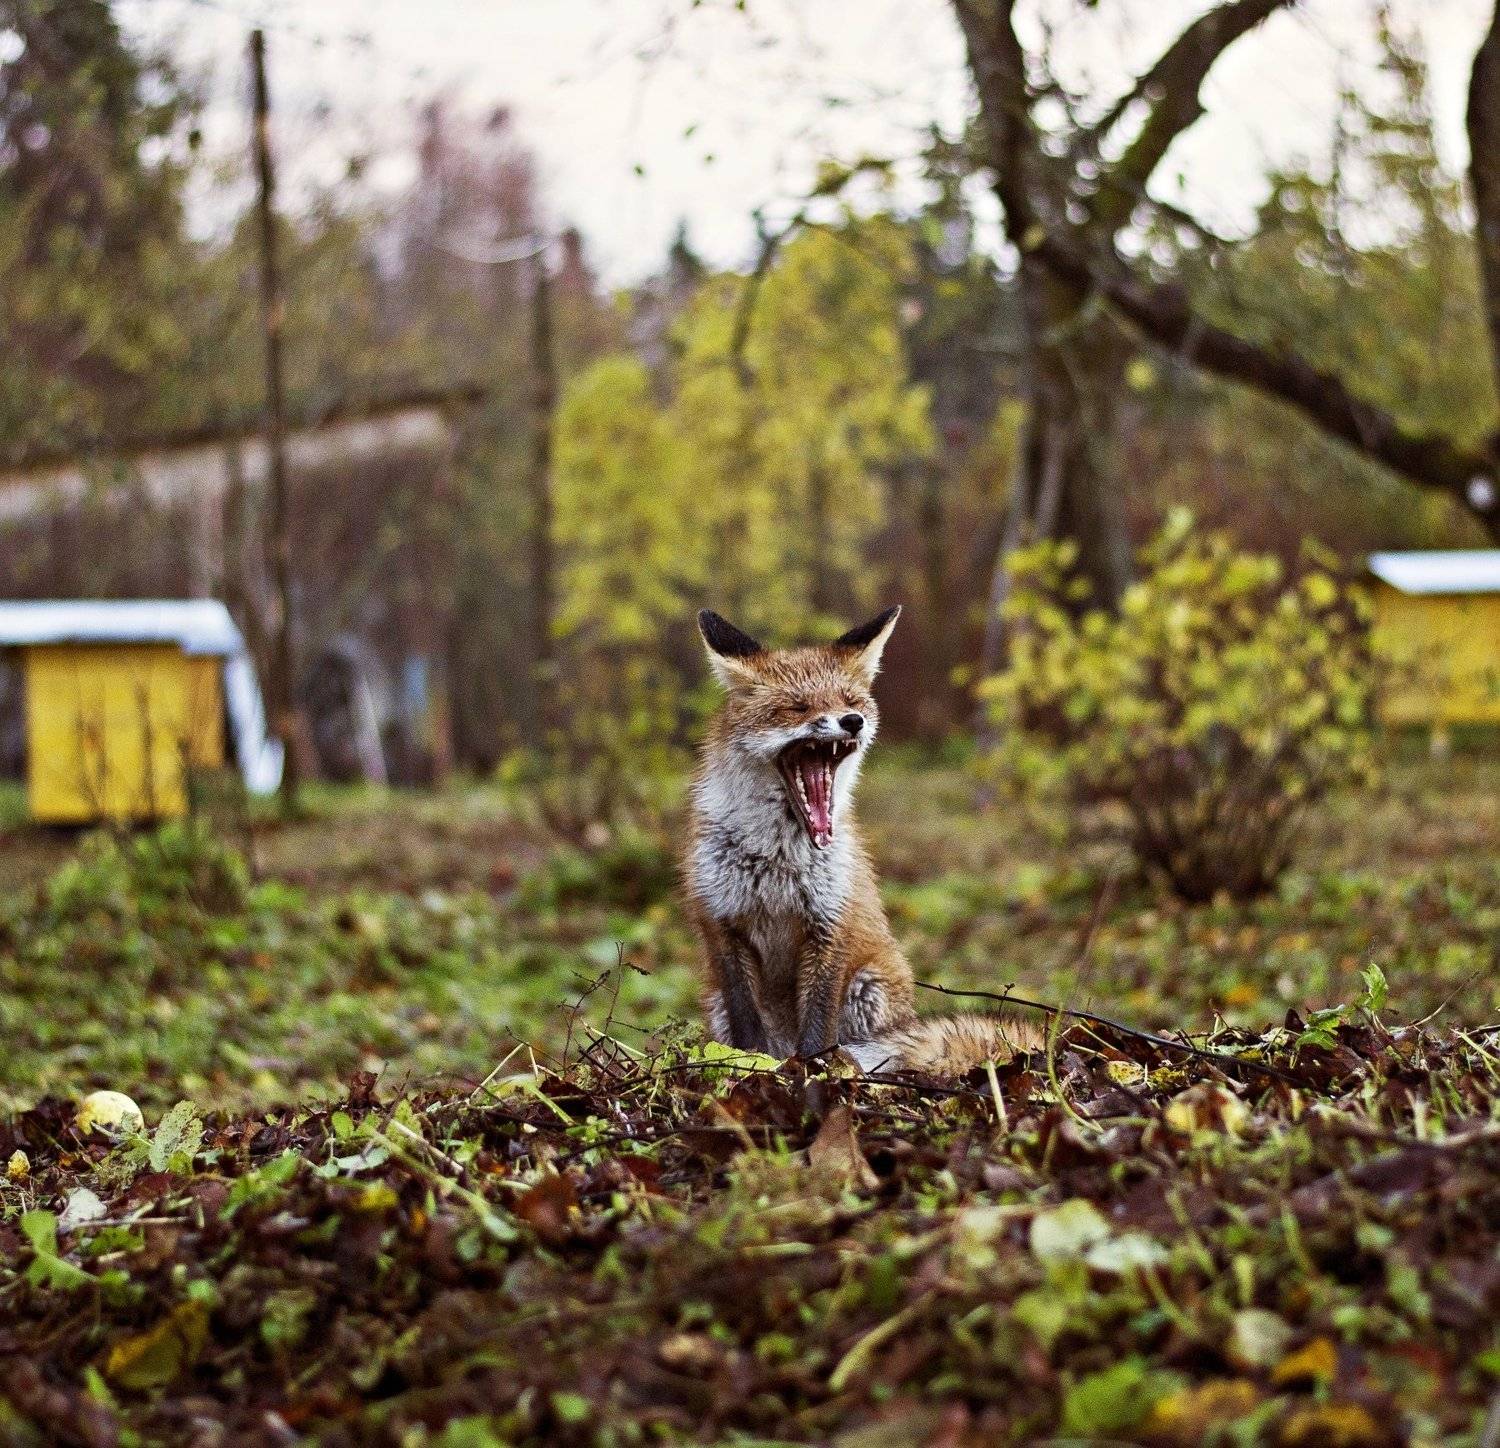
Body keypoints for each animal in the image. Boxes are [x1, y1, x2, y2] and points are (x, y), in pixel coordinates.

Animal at [682, 604, 1044, 1075]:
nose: (853, 721)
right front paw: (748, 1066)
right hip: (718, 1002)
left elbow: (817, 1029)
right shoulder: (723, 925)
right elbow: (748, 1033)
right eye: (797, 707)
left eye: (851, 702)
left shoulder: (830, 924)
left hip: (867, 987)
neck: (775, 857)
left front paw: (813, 1071)